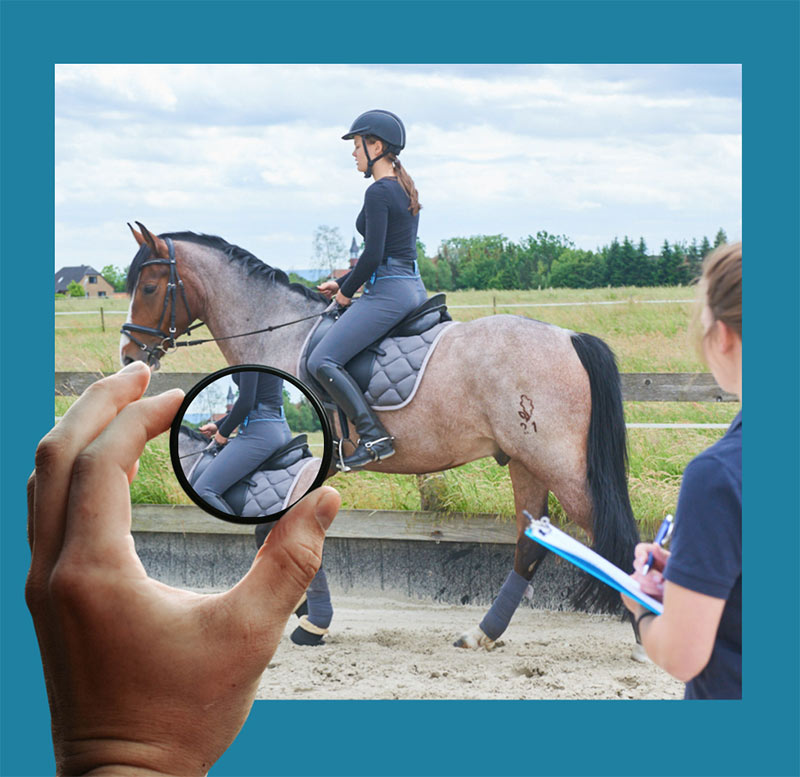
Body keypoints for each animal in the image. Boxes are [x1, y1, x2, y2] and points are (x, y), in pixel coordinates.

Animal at [122, 223, 640, 648]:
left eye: (148, 286)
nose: (129, 355)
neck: (279, 334)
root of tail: (570, 337)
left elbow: (279, 531)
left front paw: (311, 621)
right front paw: (306, 612)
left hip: (555, 461)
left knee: (610, 536)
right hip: (524, 462)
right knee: (531, 545)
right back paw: (482, 634)